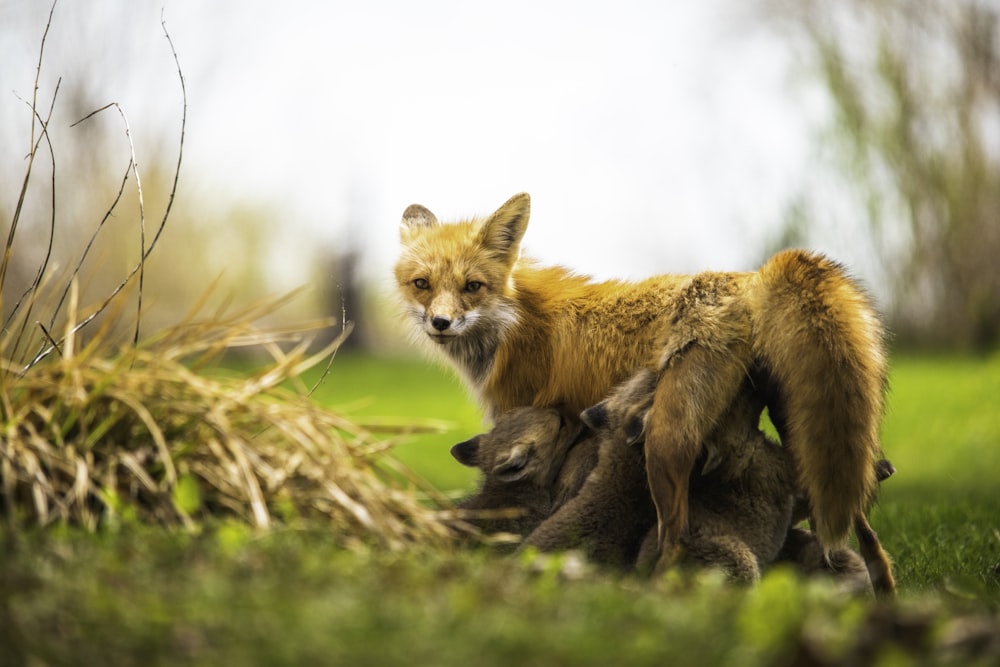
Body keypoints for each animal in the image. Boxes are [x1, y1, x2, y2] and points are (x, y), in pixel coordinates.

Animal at [394, 192, 888, 568]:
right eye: (421, 284)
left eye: (472, 286)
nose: (440, 323)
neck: (515, 324)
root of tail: (748, 278)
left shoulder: (531, 424)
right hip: (812, 436)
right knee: (868, 540)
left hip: (667, 443)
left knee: (674, 536)